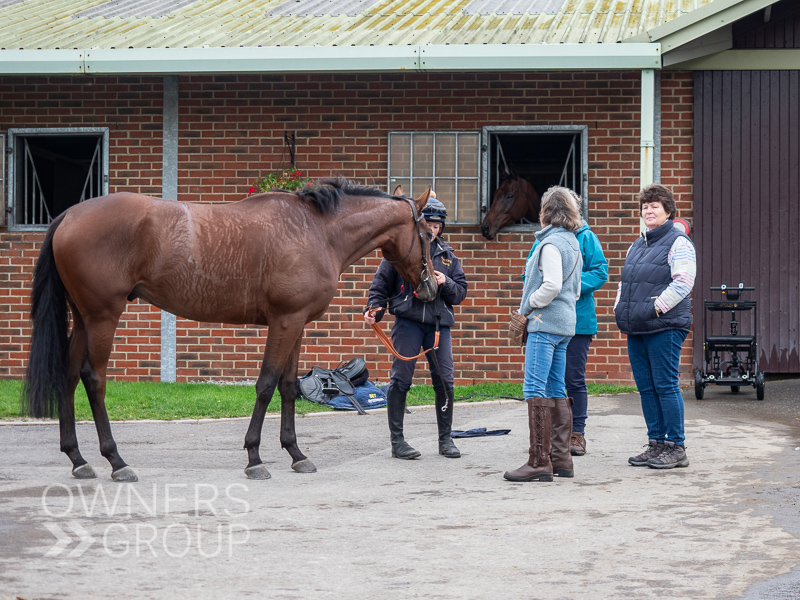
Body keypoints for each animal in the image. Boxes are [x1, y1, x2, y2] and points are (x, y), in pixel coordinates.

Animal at [22, 178, 438, 482]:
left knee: (68, 376)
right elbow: (266, 384)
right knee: (93, 379)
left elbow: (288, 387)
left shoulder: (298, 323)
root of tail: (68, 216)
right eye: (426, 232)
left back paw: (78, 459)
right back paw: (116, 461)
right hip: (102, 316)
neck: (317, 231)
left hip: (83, 317)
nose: (431, 287)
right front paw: (255, 457)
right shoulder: (284, 321)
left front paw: (296, 453)